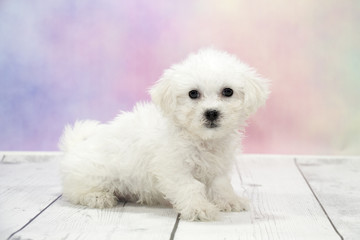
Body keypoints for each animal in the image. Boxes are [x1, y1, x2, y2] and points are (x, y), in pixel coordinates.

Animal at [59, 48, 268, 221]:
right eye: (193, 93)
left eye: (228, 91)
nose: (211, 113)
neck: (201, 139)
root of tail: (75, 145)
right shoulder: (174, 167)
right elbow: (189, 186)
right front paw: (199, 208)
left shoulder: (218, 166)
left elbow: (221, 184)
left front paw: (229, 201)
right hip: (93, 174)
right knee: (75, 191)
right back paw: (98, 196)